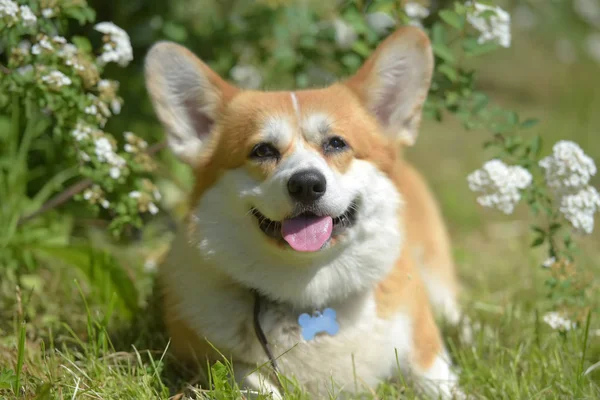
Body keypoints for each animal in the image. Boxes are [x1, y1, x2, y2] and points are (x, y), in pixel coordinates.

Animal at [145, 26, 464, 398]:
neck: (309, 290)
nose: (307, 184)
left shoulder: (421, 346)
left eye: (336, 143)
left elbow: (440, 382)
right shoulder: (209, 360)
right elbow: (254, 379)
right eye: (262, 150)